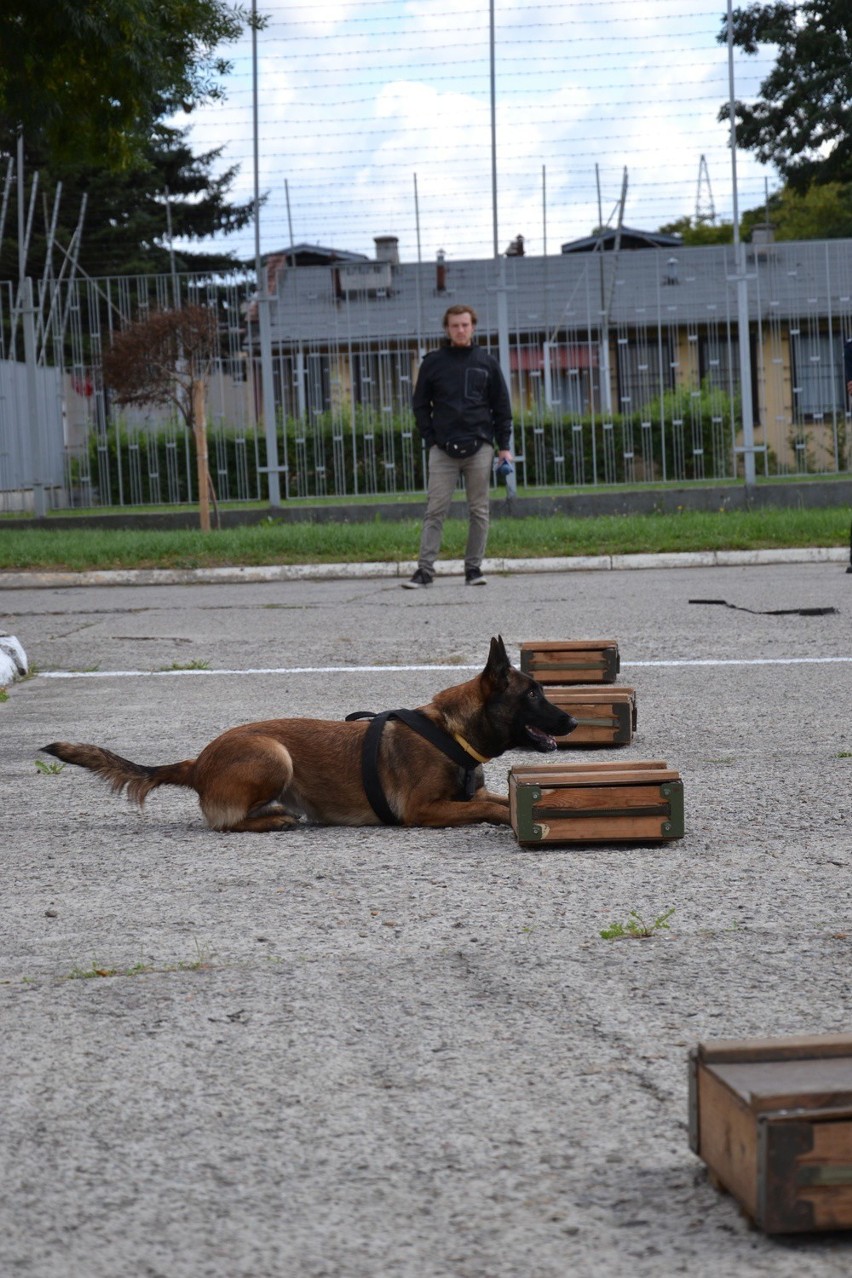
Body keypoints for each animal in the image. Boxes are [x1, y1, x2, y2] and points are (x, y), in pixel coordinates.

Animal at [39, 636, 572, 833]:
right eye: (533, 694)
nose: (571, 723)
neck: (450, 733)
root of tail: (199, 762)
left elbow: (495, 800)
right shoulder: (423, 811)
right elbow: (489, 807)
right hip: (274, 755)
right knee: (226, 823)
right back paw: (275, 819)